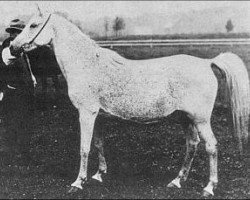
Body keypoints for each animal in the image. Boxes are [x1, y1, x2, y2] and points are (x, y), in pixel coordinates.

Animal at [9, 9, 250, 197]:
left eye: (33, 25)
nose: (12, 47)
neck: (87, 64)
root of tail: (207, 62)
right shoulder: (97, 115)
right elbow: (98, 144)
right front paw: (98, 175)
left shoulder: (86, 113)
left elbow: (84, 148)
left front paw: (78, 182)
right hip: (185, 117)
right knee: (192, 144)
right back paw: (176, 181)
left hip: (200, 119)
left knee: (211, 146)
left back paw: (209, 187)